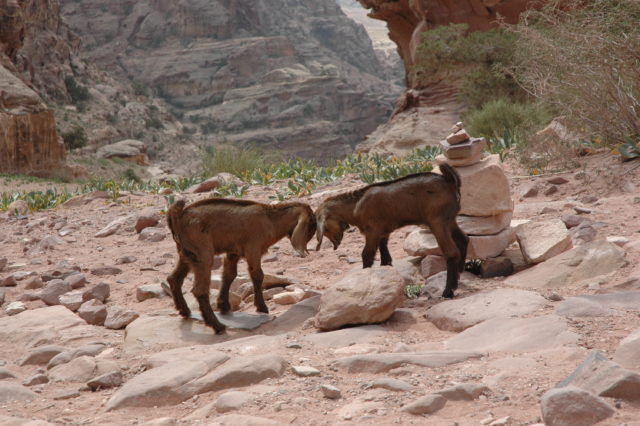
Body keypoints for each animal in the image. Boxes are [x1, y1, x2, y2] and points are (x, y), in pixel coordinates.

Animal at [166, 198, 316, 333]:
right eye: (312, 224)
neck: (270, 219)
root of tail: (178, 217)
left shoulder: (233, 252)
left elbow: (229, 275)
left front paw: (224, 305)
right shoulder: (253, 248)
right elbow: (257, 275)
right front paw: (262, 307)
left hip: (186, 254)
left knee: (174, 279)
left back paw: (184, 310)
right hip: (202, 253)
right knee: (199, 290)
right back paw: (217, 326)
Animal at [315, 163, 468, 298]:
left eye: (325, 228)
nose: (335, 243)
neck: (355, 206)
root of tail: (450, 181)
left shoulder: (373, 232)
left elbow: (367, 255)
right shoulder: (384, 232)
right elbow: (385, 259)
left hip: (437, 222)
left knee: (451, 253)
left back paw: (448, 291)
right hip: (449, 220)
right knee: (464, 240)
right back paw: (460, 274)